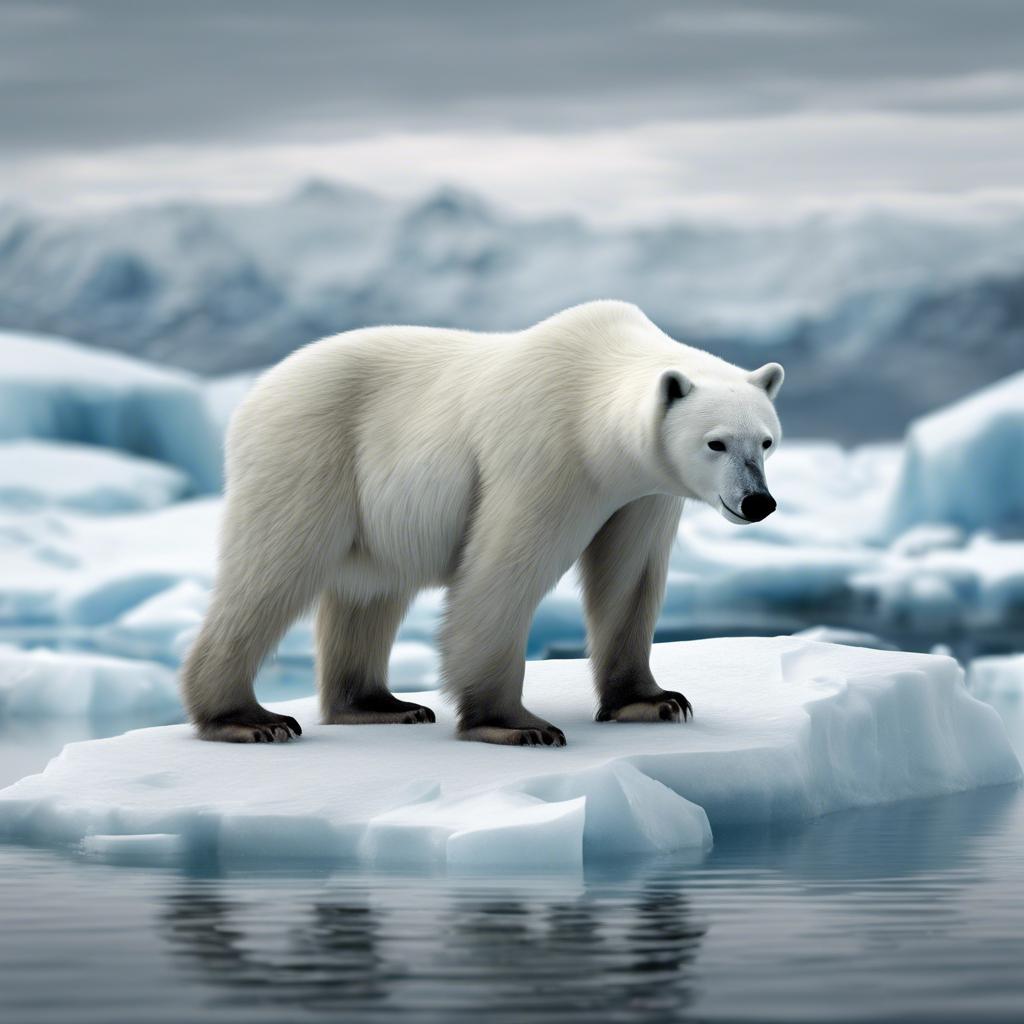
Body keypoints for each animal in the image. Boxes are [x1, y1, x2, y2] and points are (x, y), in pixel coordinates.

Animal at [182, 299, 782, 749]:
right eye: (716, 442)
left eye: (766, 441)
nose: (758, 502)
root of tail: (259, 390)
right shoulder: (545, 450)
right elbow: (504, 572)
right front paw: (516, 725)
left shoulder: (644, 492)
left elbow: (629, 577)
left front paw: (655, 701)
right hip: (309, 450)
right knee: (274, 569)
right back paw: (248, 718)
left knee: (370, 590)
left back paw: (383, 704)